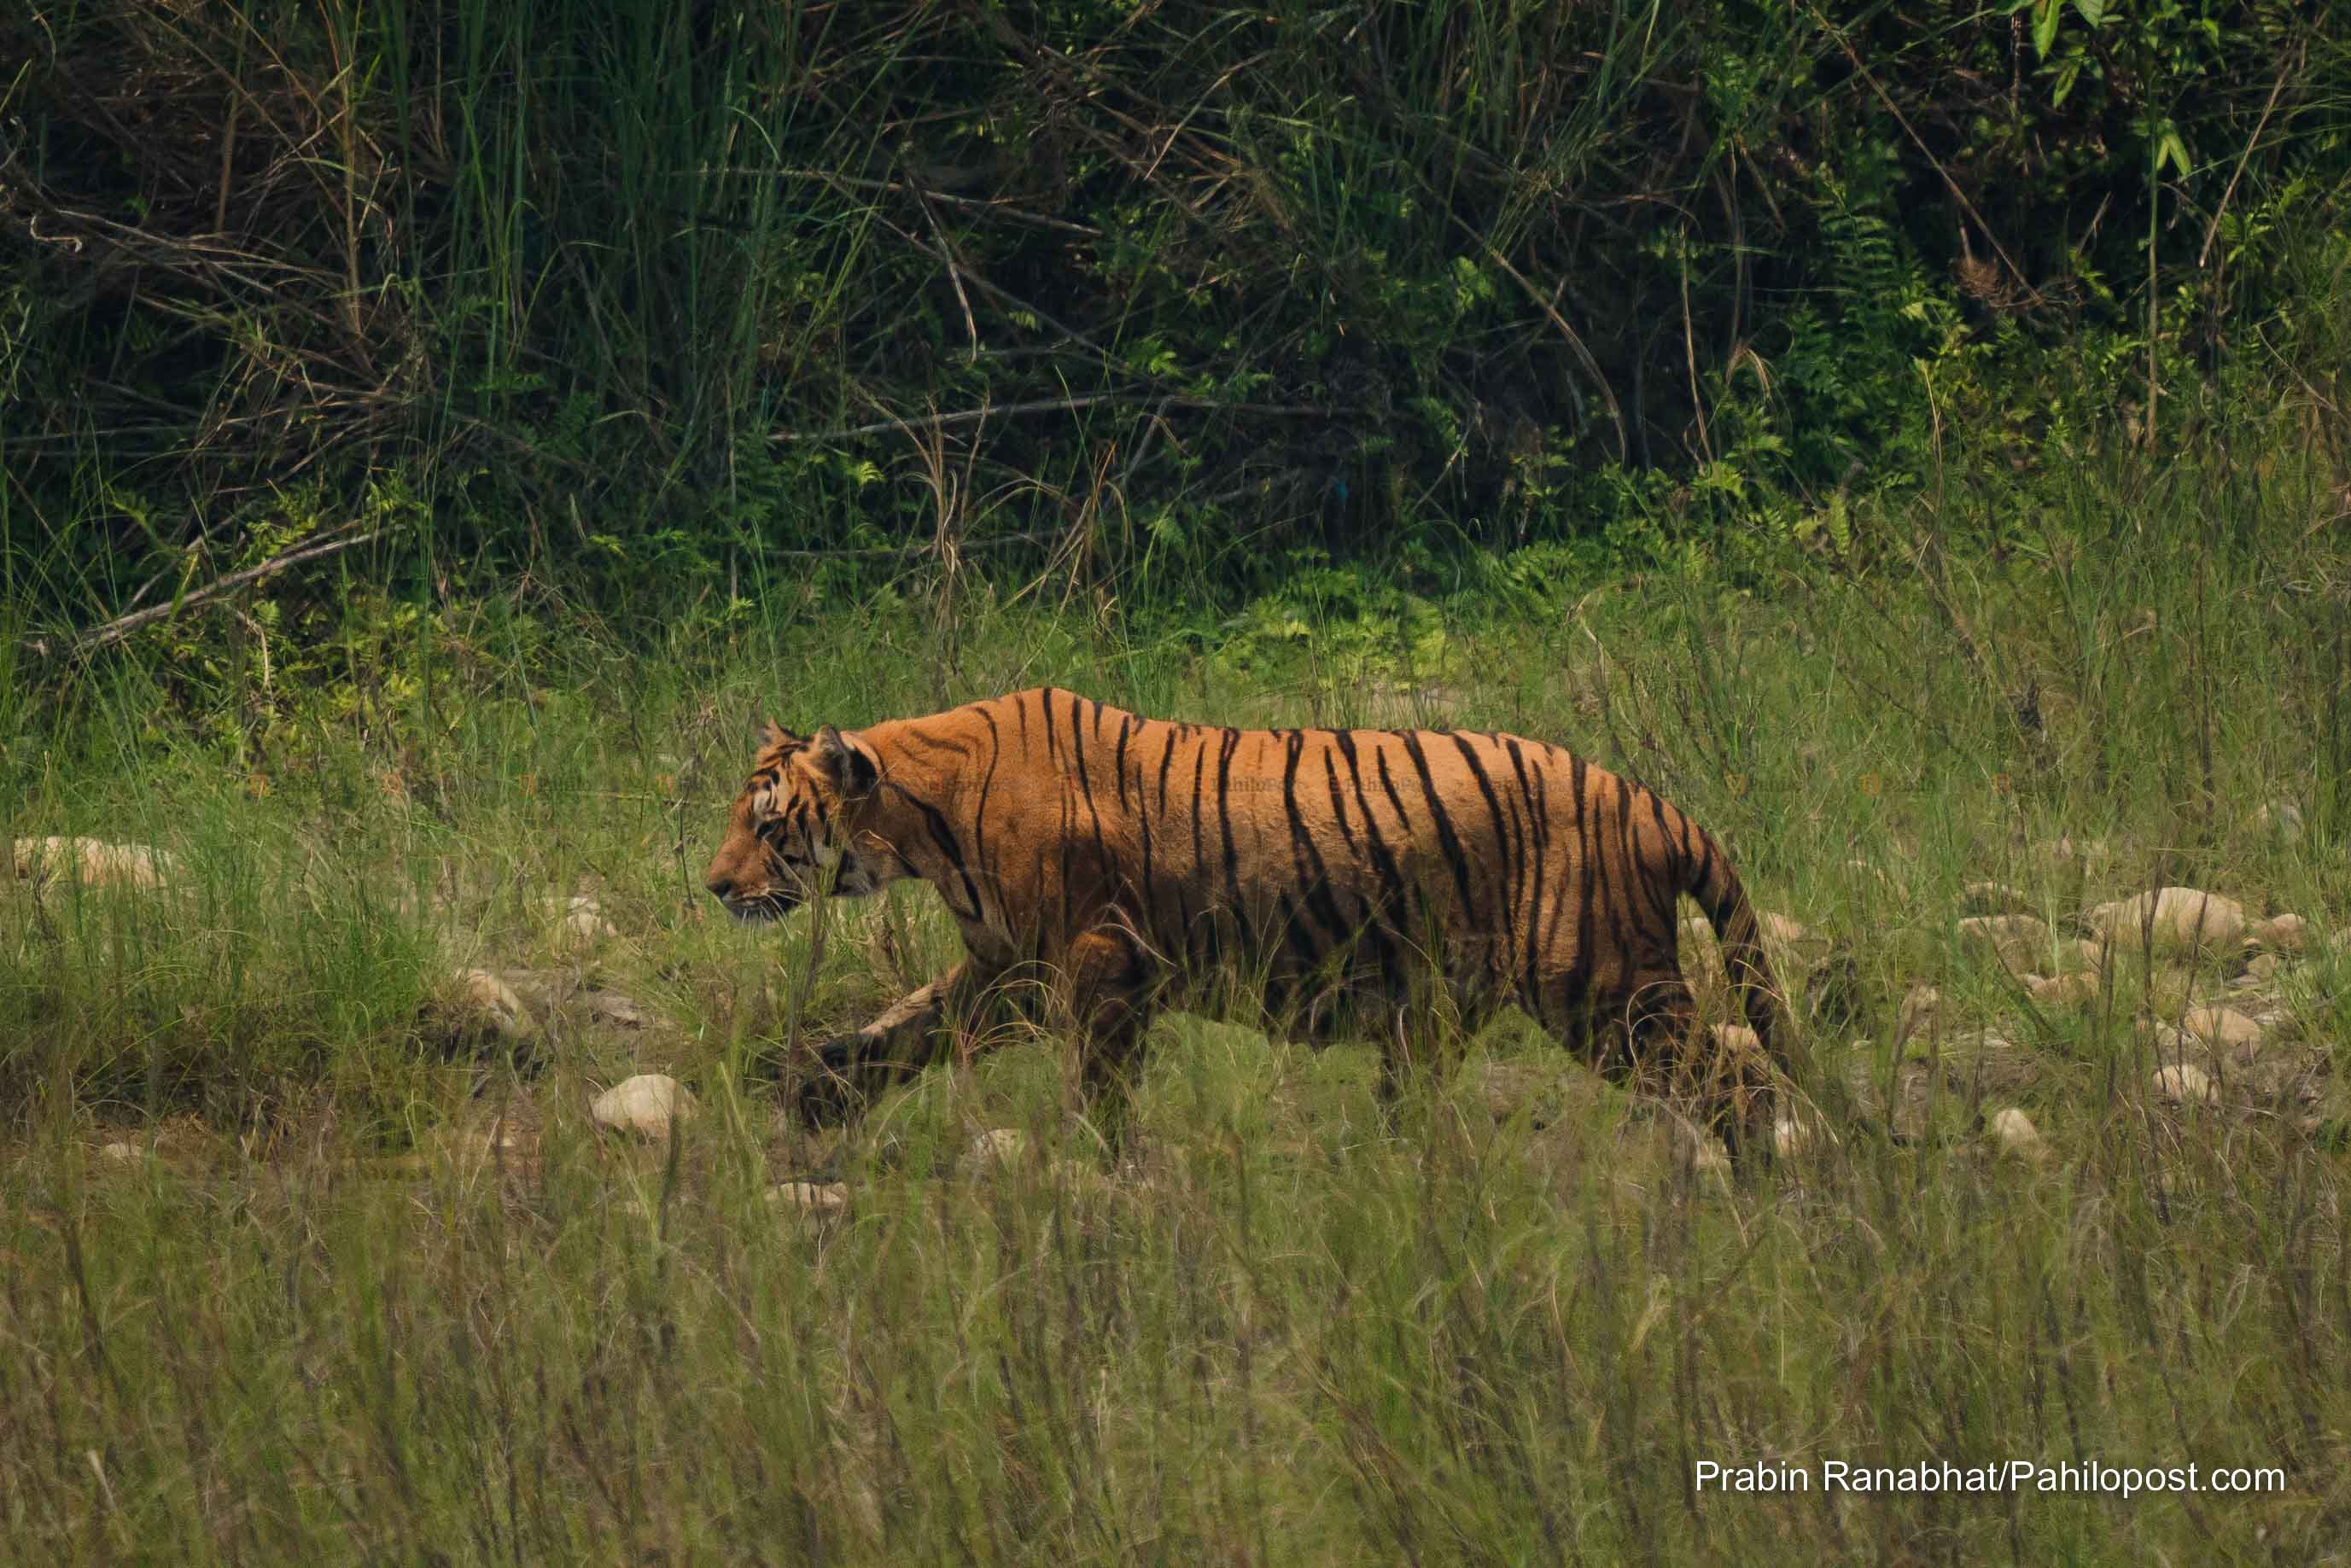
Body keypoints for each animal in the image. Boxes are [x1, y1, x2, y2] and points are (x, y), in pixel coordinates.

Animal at [696, 691, 1796, 1166]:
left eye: (767, 825)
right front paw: (809, 1093)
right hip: (1447, 1011)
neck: (919, 822)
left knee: (1737, 1085)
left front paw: (1099, 1162)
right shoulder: (1010, 966)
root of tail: (1651, 802)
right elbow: (903, 1029)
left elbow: (1096, 1082)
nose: (711, 885)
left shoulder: (1096, 962)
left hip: (1606, 994)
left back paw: (1760, 1185)